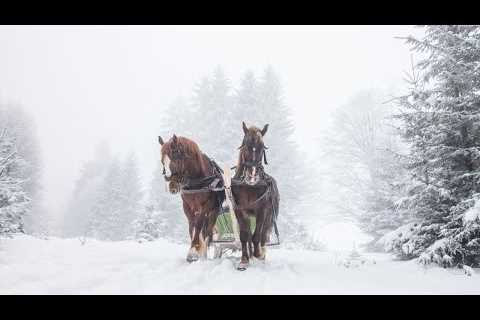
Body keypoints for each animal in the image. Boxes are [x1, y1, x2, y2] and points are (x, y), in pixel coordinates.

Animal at [158, 134, 225, 262]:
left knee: (207, 231)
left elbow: (198, 225)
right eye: (162, 161)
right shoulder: (187, 207)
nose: (171, 186)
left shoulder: (205, 206)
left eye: (176, 157)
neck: (198, 182)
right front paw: (195, 249)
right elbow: (192, 227)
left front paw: (193, 251)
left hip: (213, 212)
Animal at [231, 122, 280, 270]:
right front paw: (244, 260)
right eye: (246, 145)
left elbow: (257, 235)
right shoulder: (239, 211)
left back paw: (261, 254)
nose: (252, 176)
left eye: (262, 147)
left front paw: (258, 254)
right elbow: (244, 235)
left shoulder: (263, 210)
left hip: (270, 216)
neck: (249, 186)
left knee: (263, 235)